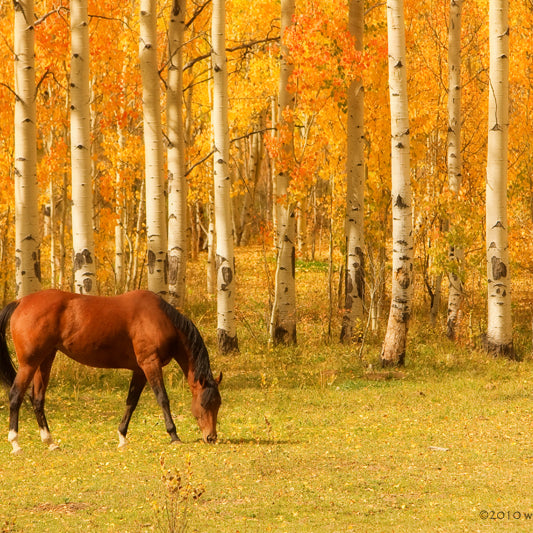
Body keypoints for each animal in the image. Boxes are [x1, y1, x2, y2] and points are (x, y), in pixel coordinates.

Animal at [0, 286, 221, 454]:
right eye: (204, 403)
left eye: (218, 404)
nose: (211, 437)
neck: (160, 319)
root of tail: (20, 302)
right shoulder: (150, 364)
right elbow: (163, 399)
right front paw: (174, 435)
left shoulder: (139, 370)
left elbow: (131, 402)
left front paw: (122, 437)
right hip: (29, 364)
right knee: (16, 396)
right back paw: (15, 443)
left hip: (45, 360)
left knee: (37, 398)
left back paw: (50, 442)